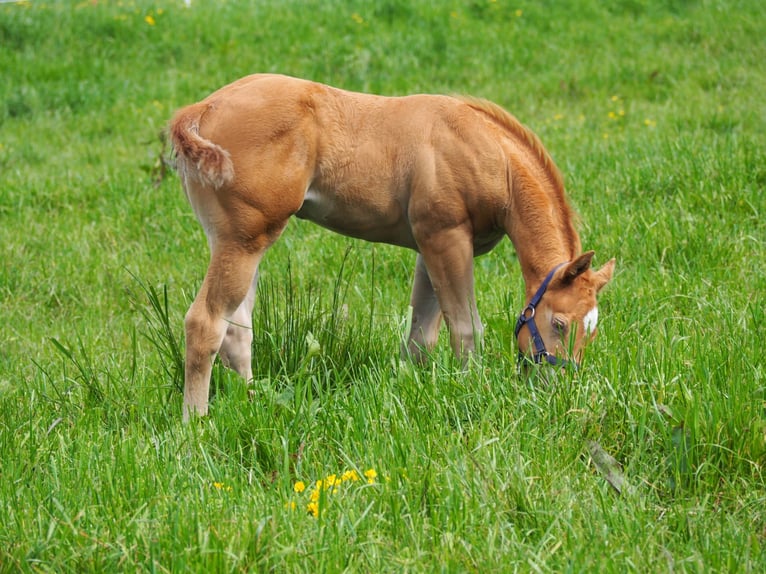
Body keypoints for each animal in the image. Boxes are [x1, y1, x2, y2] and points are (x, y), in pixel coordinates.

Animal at [171, 74, 616, 420]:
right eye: (559, 324)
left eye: (592, 329)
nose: (559, 388)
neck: (490, 155)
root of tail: (204, 108)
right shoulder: (446, 239)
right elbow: (466, 328)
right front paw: (475, 392)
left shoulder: (431, 247)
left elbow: (421, 335)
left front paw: (407, 390)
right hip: (243, 243)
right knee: (205, 323)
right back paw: (197, 423)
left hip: (243, 243)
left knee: (237, 332)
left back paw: (253, 404)